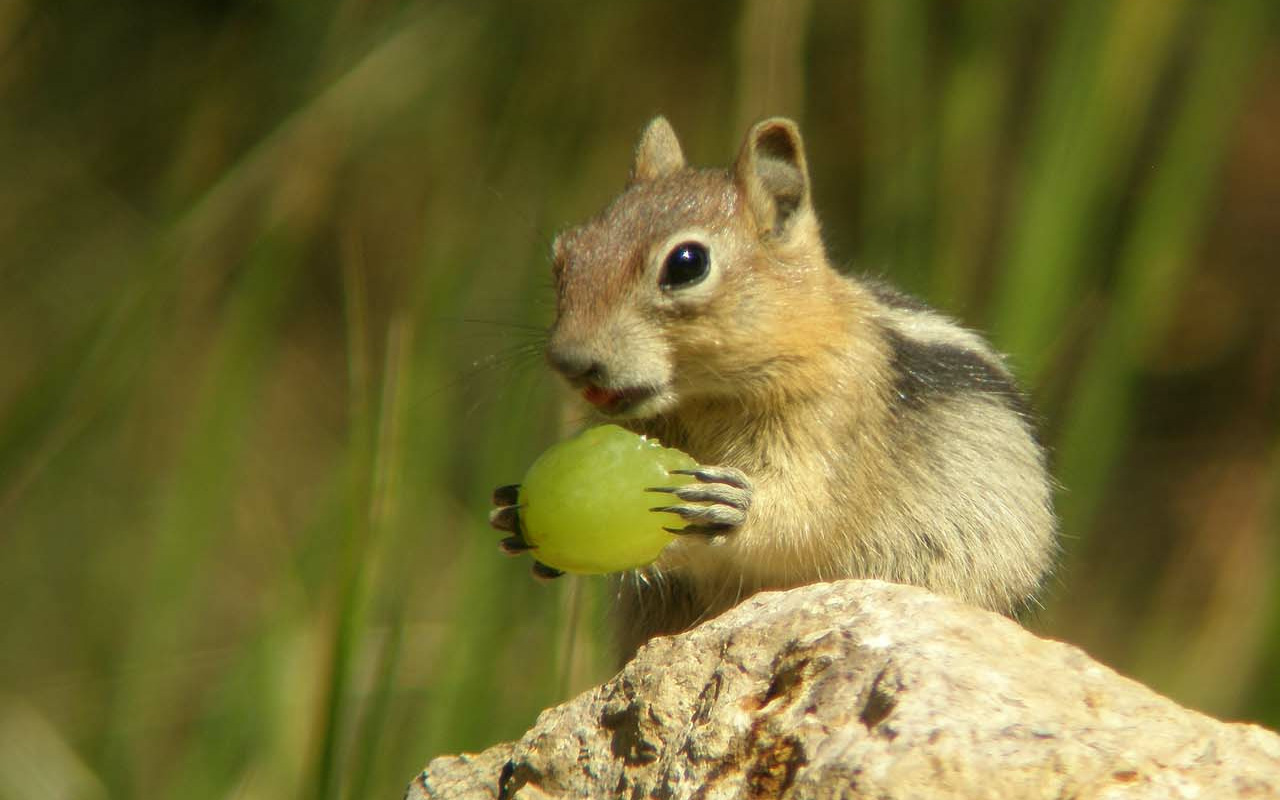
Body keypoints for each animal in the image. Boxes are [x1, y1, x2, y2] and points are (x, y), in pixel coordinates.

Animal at [491, 116, 1057, 661]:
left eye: (687, 263)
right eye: (564, 254)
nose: (570, 360)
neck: (705, 399)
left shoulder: (834, 417)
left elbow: (806, 513)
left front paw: (732, 505)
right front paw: (511, 515)